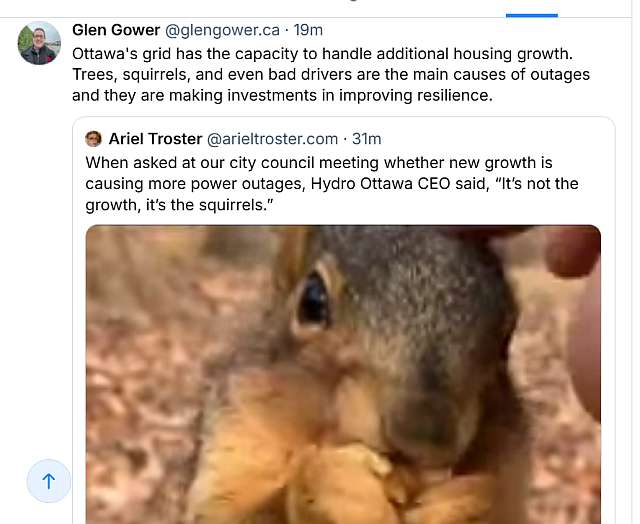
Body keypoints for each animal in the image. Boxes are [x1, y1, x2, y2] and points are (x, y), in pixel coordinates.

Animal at [186, 226, 529, 524]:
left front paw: (473, 505)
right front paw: (338, 486)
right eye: (312, 301)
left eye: (507, 338)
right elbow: (232, 513)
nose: (423, 438)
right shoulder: (238, 428)